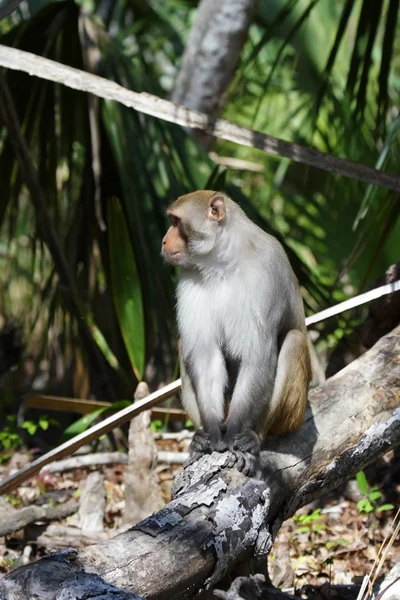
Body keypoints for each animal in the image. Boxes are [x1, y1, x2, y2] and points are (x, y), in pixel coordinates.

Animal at [161, 190, 310, 472]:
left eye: (176, 222)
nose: (164, 240)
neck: (221, 262)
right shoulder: (189, 275)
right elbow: (204, 354)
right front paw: (211, 433)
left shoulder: (266, 271)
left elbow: (258, 354)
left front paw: (232, 436)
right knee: (184, 345)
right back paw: (201, 436)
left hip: (294, 417)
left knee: (294, 340)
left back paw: (254, 436)